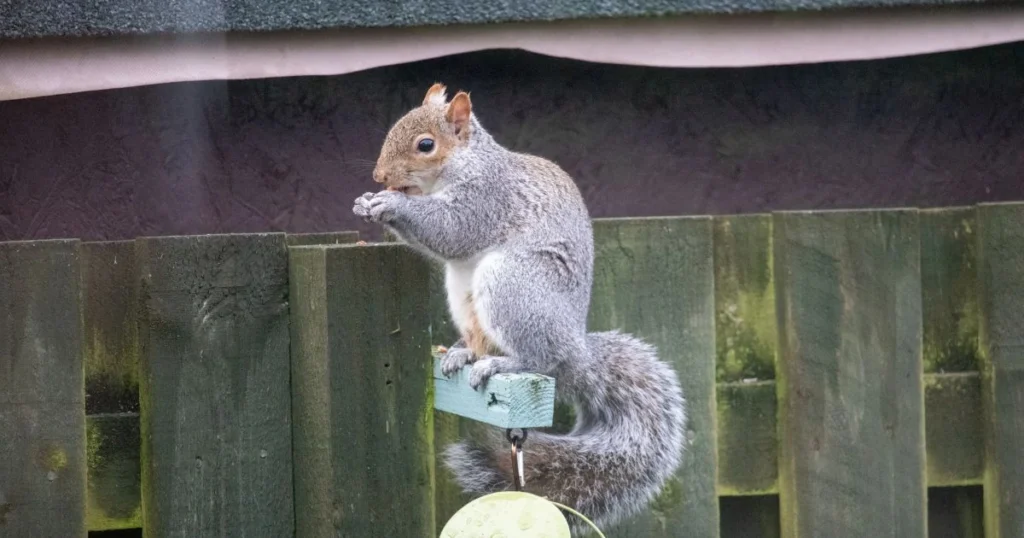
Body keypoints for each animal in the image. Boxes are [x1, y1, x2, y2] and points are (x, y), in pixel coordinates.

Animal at [354, 84, 688, 532]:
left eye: (426, 145)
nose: (380, 177)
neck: (463, 165)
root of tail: (577, 352)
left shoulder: (486, 199)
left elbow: (452, 230)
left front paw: (391, 205)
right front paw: (367, 201)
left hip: (512, 286)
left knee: (541, 359)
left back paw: (504, 363)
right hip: (463, 292)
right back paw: (464, 353)